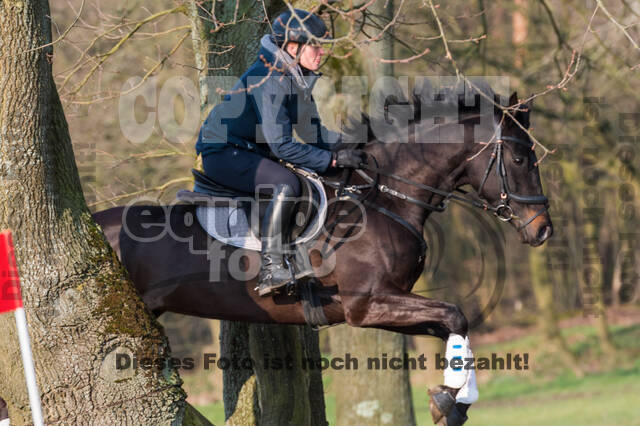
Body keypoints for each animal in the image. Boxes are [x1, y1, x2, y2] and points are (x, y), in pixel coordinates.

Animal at [92, 88, 552, 424]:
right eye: (519, 158)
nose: (543, 229)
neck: (382, 199)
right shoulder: (366, 304)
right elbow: (456, 314)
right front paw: (450, 401)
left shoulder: (382, 303)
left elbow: (453, 324)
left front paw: (455, 399)